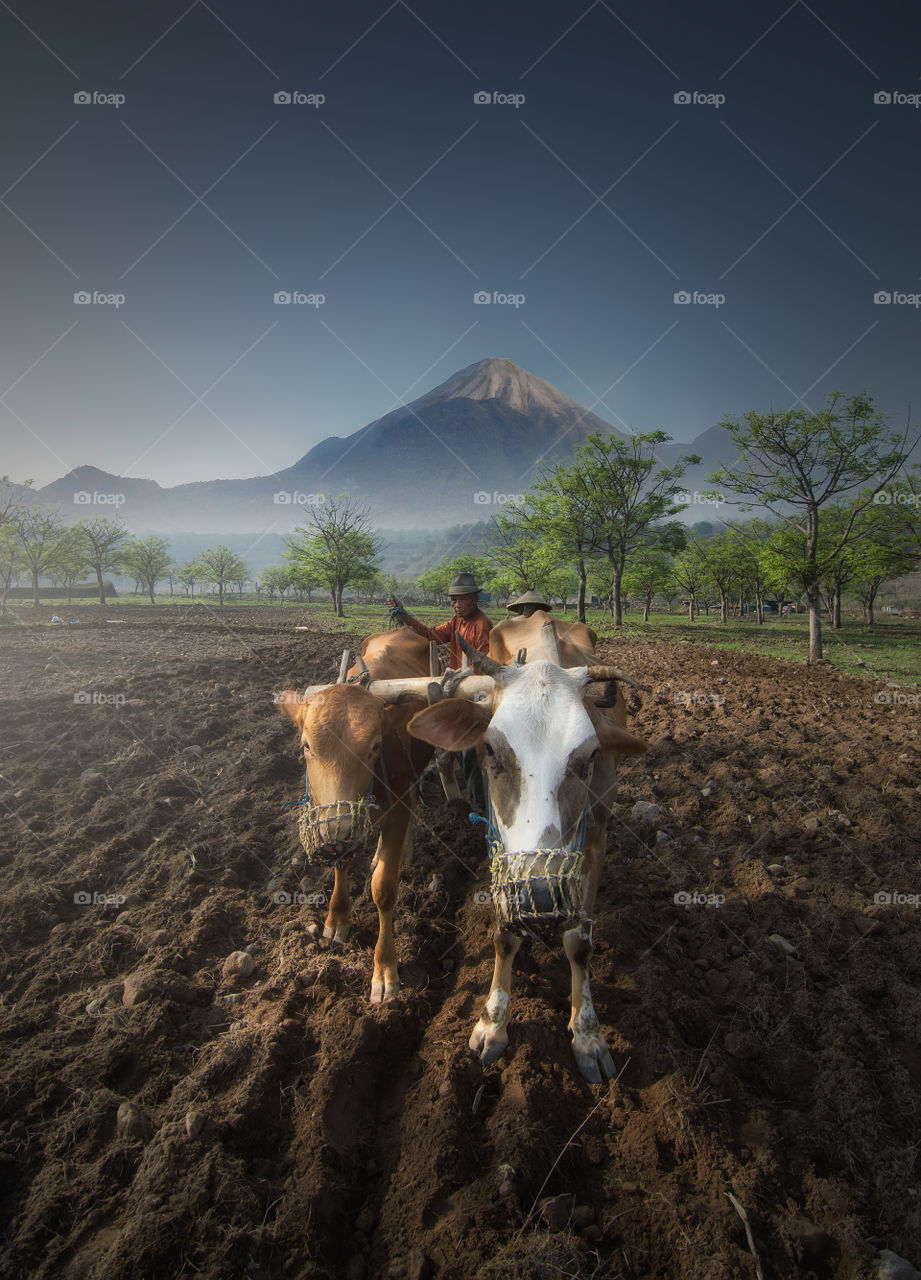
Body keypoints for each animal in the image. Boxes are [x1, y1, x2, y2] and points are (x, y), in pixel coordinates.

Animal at [276, 627, 435, 1003]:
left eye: (374, 746)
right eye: (306, 745)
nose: (340, 828)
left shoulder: (400, 802)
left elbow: (384, 888)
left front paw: (385, 970)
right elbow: (340, 863)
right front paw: (337, 919)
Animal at [403, 615, 648, 1081]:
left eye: (590, 756)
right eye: (490, 749)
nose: (541, 895)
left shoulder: (595, 841)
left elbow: (580, 943)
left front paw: (588, 1035)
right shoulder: (498, 845)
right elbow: (503, 933)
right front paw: (492, 1024)